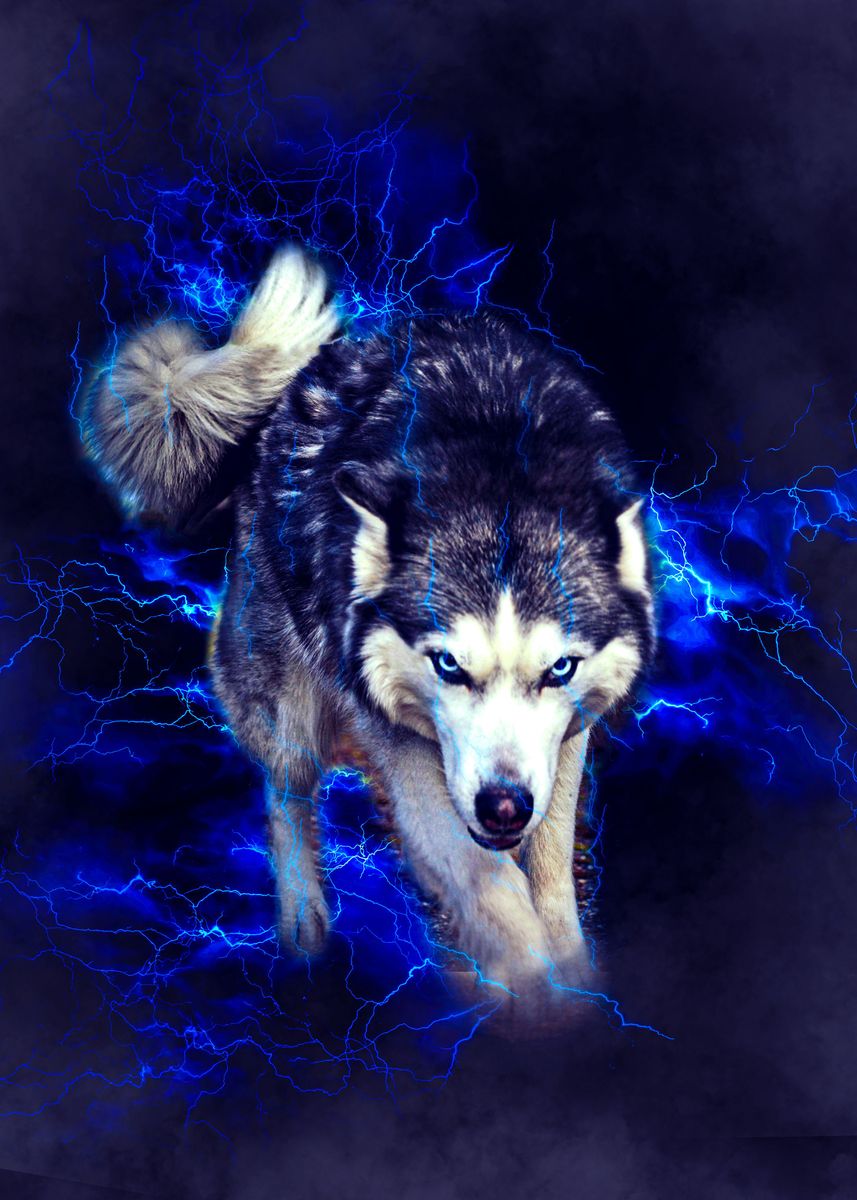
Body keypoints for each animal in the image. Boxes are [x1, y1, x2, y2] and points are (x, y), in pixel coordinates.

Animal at [85, 246, 655, 1002]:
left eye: (558, 668)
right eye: (448, 665)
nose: (502, 806)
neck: (497, 468)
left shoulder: (565, 744)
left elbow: (550, 871)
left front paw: (573, 972)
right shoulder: (402, 747)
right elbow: (490, 887)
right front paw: (542, 998)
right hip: (288, 705)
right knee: (286, 794)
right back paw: (303, 930)